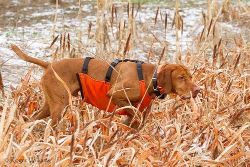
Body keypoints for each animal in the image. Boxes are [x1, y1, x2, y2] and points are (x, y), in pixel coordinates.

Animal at [11, 44, 201, 128]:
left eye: (191, 76)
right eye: (181, 77)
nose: (198, 90)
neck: (149, 78)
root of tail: (50, 65)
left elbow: (133, 120)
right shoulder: (116, 94)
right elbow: (133, 111)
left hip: (50, 105)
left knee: (30, 120)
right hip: (59, 105)